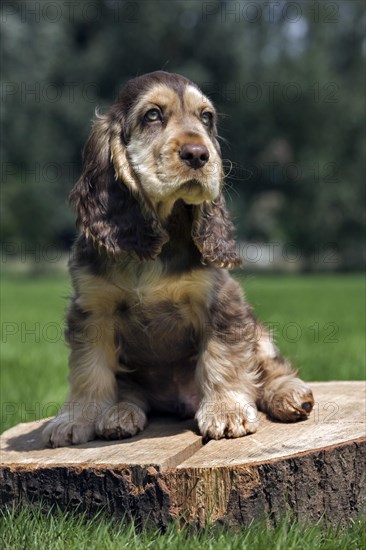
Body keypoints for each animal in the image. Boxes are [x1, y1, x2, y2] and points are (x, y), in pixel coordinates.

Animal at [42, 71, 312, 448]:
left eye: (206, 117)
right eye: (153, 115)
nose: (198, 154)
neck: (160, 233)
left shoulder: (222, 301)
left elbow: (223, 358)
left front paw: (226, 412)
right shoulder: (91, 309)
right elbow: (88, 370)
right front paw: (75, 419)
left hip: (257, 333)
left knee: (269, 368)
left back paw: (290, 394)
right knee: (128, 390)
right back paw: (120, 414)